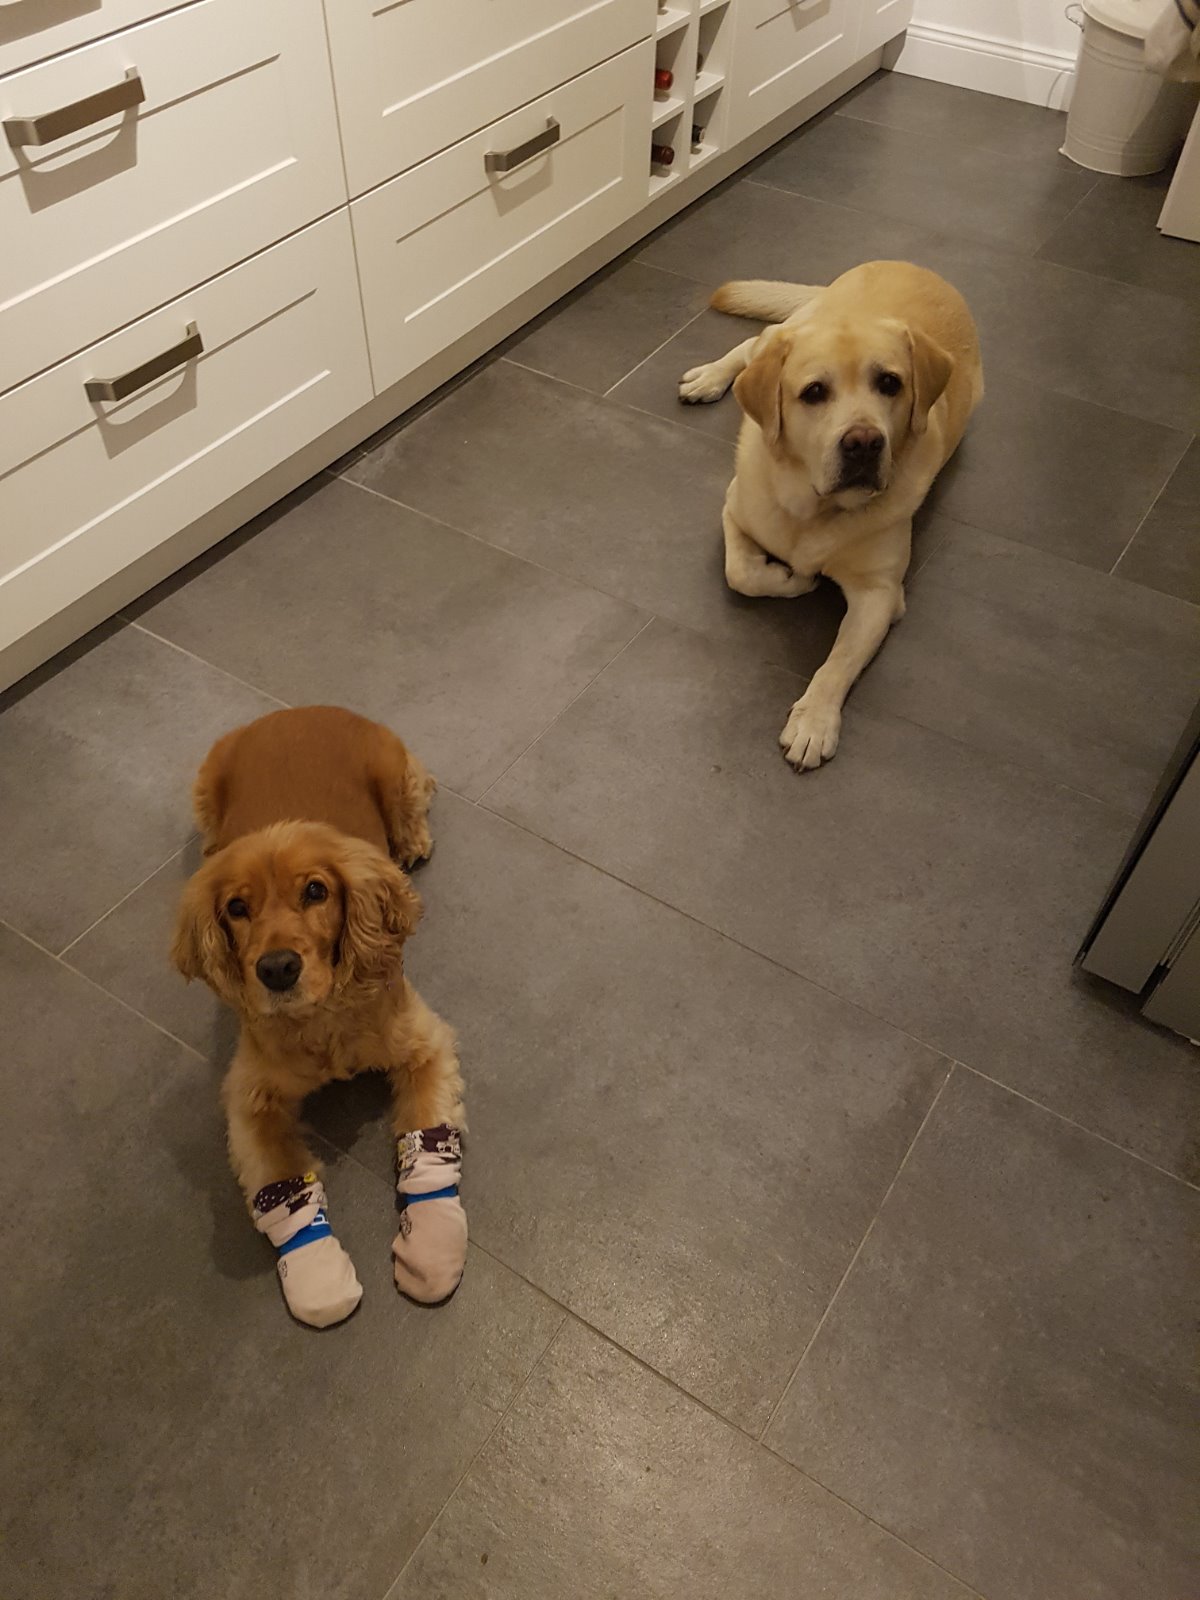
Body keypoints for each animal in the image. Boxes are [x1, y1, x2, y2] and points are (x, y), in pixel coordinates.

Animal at [171, 705, 467, 1328]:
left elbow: (425, 1128)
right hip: (205, 784)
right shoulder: (250, 1095)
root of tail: (293, 711)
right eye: (237, 907)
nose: (277, 968)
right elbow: (278, 1177)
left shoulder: (424, 1043)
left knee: (414, 806)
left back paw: (413, 841)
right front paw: (316, 1272)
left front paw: (432, 1242)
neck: (322, 1018)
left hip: (395, 775)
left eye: (315, 891)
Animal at [679, 261, 983, 770]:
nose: (864, 442)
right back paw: (710, 377)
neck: (816, 511)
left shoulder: (880, 594)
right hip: (779, 334)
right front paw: (791, 579)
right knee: (751, 346)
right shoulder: (735, 506)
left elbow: (838, 661)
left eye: (889, 383)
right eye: (814, 392)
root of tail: (912, 265)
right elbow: (740, 573)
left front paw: (814, 722)